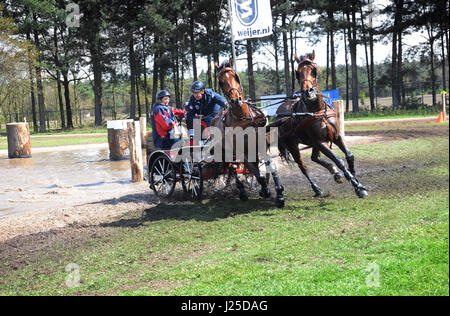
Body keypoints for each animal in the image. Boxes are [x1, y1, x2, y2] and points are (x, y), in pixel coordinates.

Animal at [213, 58, 286, 209]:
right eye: (220, 82)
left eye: (236, 76)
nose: (236, 100)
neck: (243, 121)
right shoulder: (242, 152)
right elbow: (257, 174)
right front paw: (265, 190)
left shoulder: (262, 147)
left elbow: (270, 165)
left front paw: (279, 193)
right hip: (227, 152)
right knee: (232, 168)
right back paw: (242, 190)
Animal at [274, 51, 370, 199]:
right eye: (297, 72)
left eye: (314, 70)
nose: (308, 91)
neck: (318, 111)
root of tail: (280, 110)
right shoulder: (320, 142)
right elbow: (339, 161)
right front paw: (358, 187)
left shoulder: (336, 136)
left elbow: (349, 156)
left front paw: (354, 178)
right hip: (293, 144)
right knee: (303, 167)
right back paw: (317, 188)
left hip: (312, 143)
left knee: (315, 157)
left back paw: (335, 173)